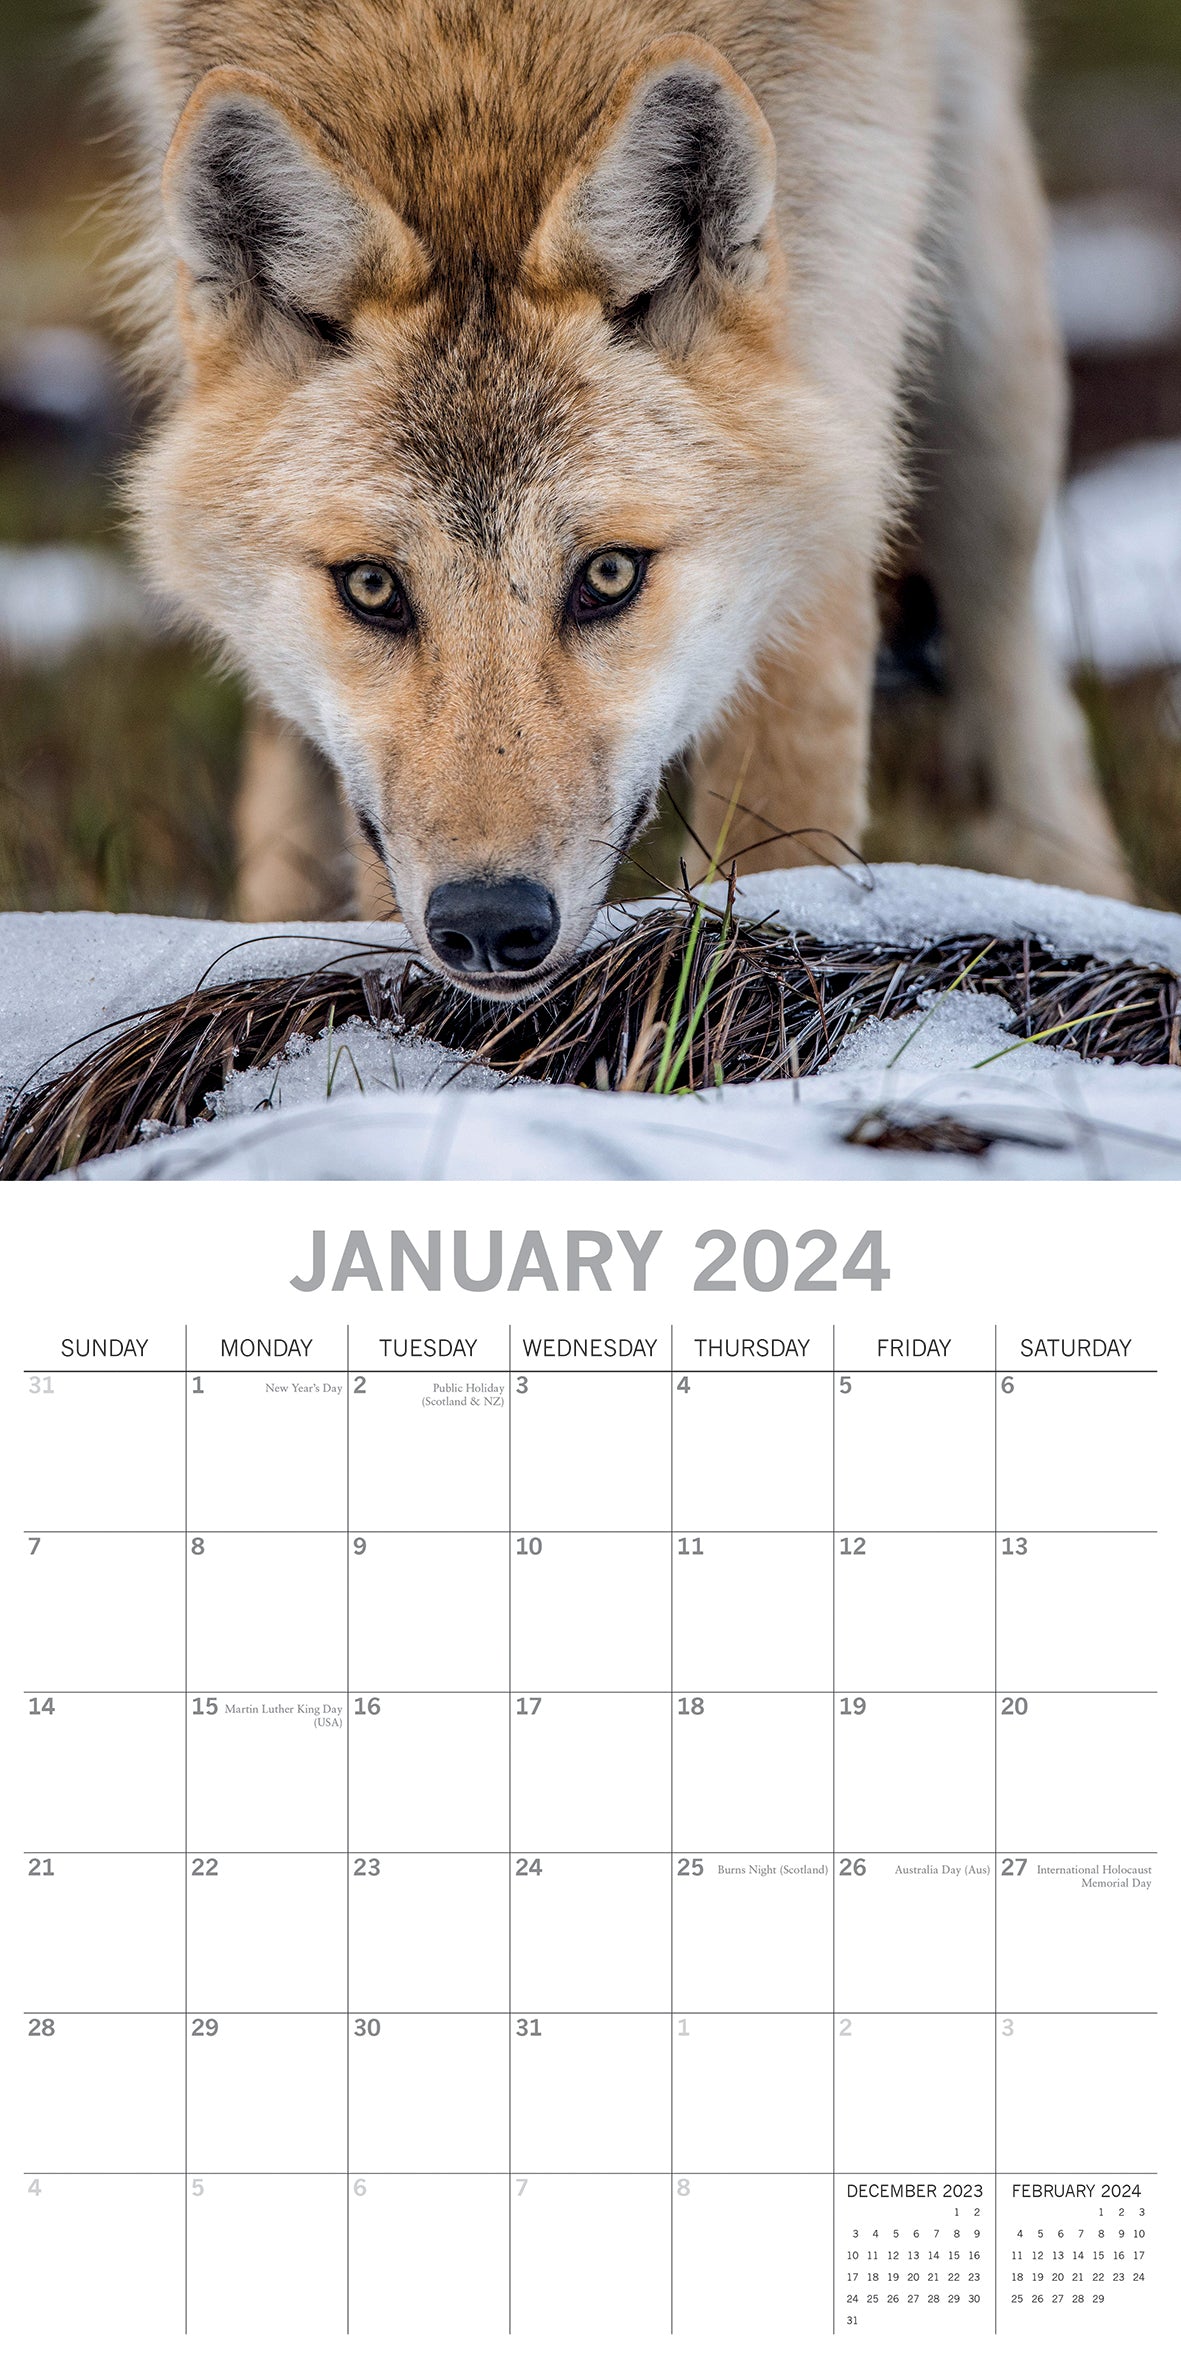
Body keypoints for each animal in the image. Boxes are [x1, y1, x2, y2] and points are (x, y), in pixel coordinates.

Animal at [101, 1, 1132, 992]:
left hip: (982, 324)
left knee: (1011, 649)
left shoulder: (842, 390)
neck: (477, 55)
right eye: (370, 588)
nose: (487, 926)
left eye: (607, 575)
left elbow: (783, 820)